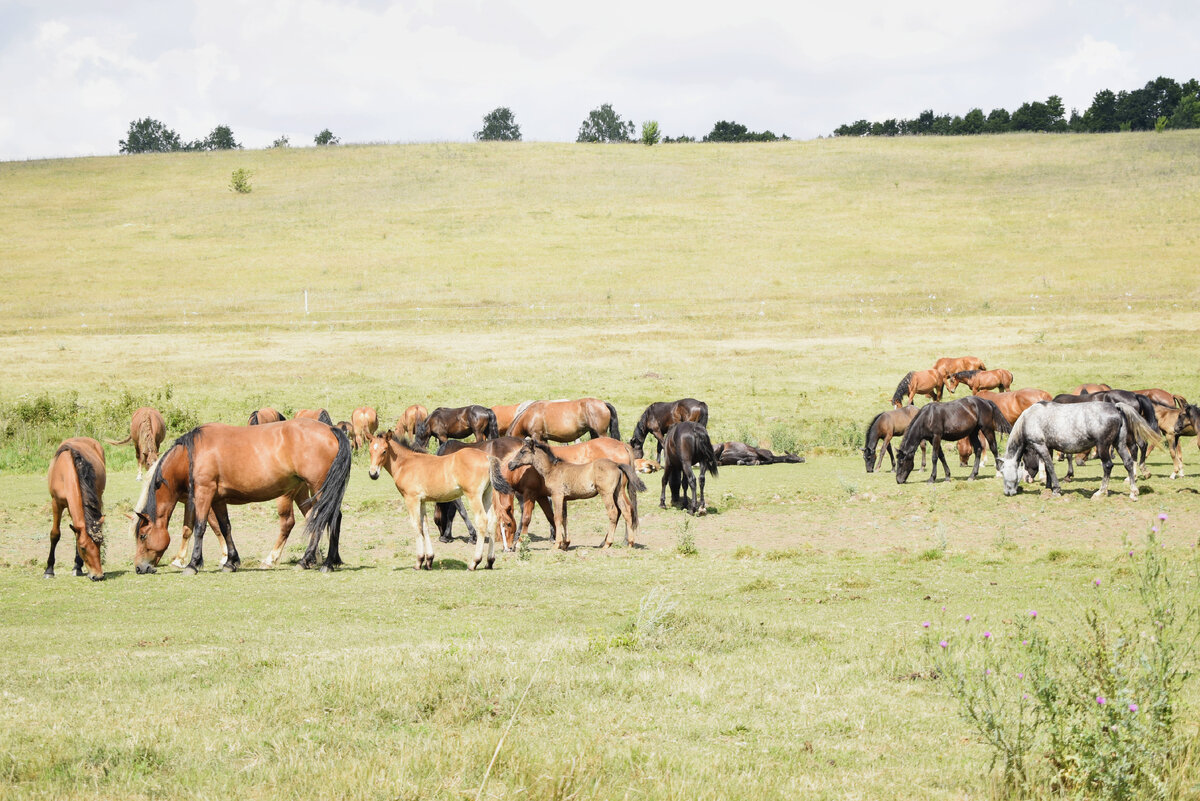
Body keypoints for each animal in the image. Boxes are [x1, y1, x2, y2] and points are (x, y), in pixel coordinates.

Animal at [45, 438, 106, 582]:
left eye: (100, 544)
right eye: (83, 548)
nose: (98, 576)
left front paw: (77, 566)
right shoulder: (56, 503)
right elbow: (55, 534)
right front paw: (49, 570)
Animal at [136, 419, 352, 575]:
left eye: (142, 535)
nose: (139, 568)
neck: (192, 454)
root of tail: (331, 430)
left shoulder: (204, 493)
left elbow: (199, 527)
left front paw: (193, 564)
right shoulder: (218, 499)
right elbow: (225, 528)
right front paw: (231, 562)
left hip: (319, 487)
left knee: (324, 519)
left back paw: (315, 562)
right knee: (330, 518)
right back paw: (324, 561)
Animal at [367, 431, 513, 568]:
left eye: (384, 451)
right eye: (370, 451)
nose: (373, 474)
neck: (406, 463)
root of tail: (487, 457)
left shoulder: (411, 499)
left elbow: (416, 525)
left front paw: (419, 561)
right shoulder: (422, 501)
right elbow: (425, 526)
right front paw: (429, 560)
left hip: (474, 496)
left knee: (482, 521)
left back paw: (474, 562)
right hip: (486, 495)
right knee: (493, 520)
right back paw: (490, 561)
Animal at [504, 438, 643, 551]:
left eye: (523, 452)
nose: (510, 464)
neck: (552, 469)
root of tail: (617, 465)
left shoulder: (556, 495)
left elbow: (557, 518)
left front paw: (557, 544)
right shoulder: (564, 498)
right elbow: (564, 518)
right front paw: (565, 543)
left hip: (607, 494)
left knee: (614, 512)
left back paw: (607, 543)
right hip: (618, 492)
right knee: (626, 510)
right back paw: (630, 542)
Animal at [998, 402, 1156, 496]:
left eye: (1004, 472)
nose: (1007, 492)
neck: (1028, 419)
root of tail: (1115, 407)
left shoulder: (1040, 445)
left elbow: (1050, 466)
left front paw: (1056, 489)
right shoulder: (1049, 447)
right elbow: (1048, 468)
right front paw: (1048, 486)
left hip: (1103, 446)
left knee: (1108, 465)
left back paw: (1101, 491)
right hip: (1120, 444)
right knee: (1128, 463)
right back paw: (1133, 491)